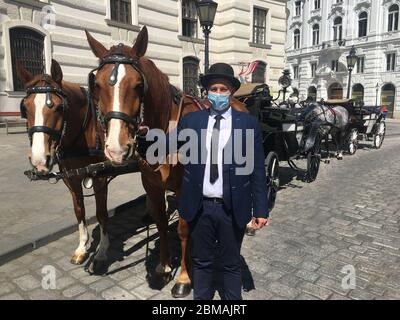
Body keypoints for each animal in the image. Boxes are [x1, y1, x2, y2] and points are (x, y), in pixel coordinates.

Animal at [17, 59, 110, 268]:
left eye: (60, 108)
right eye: (25, 109)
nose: (39, 160)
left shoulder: (100, 177)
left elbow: (101, 213)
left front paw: (102, 252)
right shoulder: (71, 178)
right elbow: (79, 210)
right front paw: (82, 248)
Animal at [84, 26, 247, 298]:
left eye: (138, 85)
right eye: (96, 85)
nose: (116, 148)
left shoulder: (185, 188)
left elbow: (183, 228)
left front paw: (184, 277)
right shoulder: (152, 186)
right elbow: (160, 222)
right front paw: (163, 267)